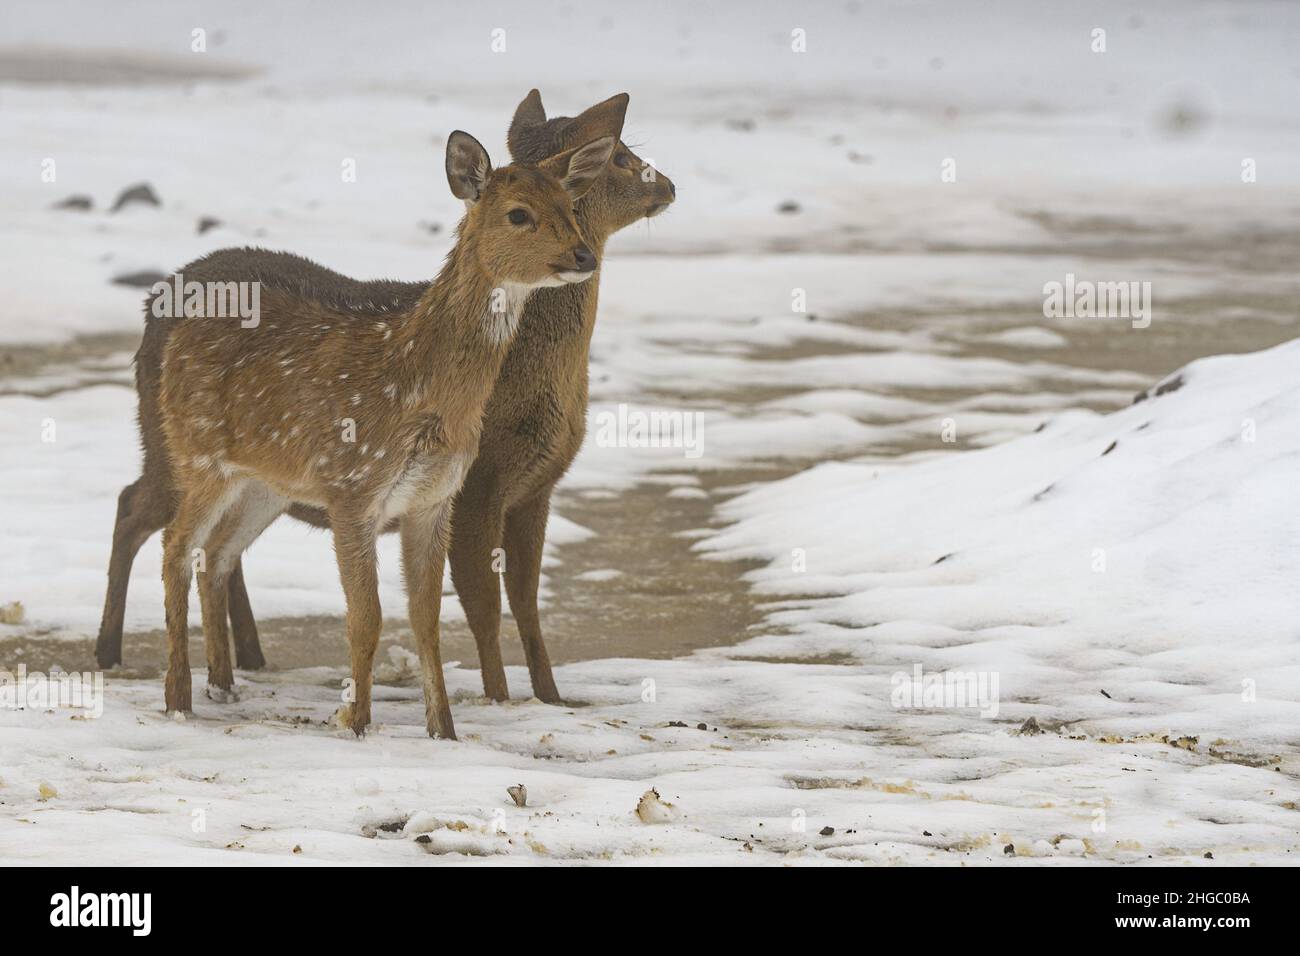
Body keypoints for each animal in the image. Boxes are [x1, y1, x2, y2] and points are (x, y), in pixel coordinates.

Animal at [96, 91, 676, 712]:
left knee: (217, 550)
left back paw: (234, 668)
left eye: (572, 203)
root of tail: (156, 300)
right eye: (622, 156)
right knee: (137, 509)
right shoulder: (477, 486)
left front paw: (550, 697)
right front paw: (498, 698)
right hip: (174, 446)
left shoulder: (534, 486)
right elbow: (482, 604)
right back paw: (119, 654)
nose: (668, 185)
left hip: (260, 478)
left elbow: (525, 599)